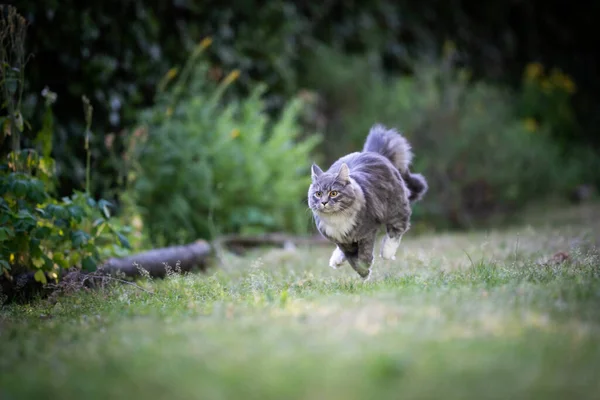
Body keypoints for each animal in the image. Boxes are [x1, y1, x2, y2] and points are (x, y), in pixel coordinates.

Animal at [310, 123, 426, 280]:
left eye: (333, 193)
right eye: (318, 194)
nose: (323, 202)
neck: (336, 219)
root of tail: (374, 153)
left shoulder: (367, 232)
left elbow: (364, 256)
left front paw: (365, 271)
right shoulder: (343, 242)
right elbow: (352, 259)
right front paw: (363, 272)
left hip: (396, 207)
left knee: (397, 229)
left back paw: (387, 252)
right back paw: (336, 260)